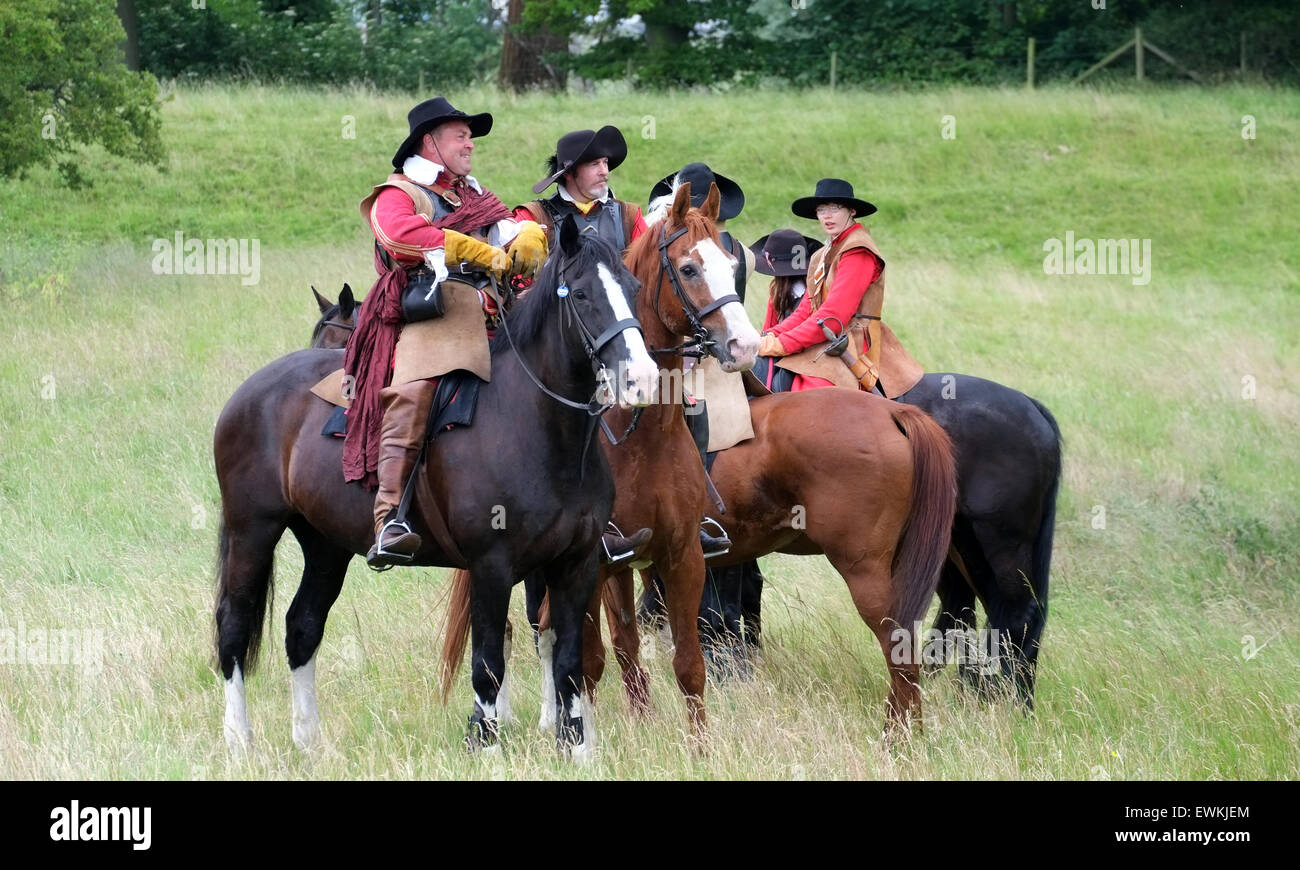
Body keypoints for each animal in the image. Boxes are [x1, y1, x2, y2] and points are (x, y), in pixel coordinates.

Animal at [218, 217, 660, 759]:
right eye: (580, 293)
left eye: (633, 289)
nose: (642, 379)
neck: (538, 425)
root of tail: (247, 393)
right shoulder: (492, 566)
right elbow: (488, 661)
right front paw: (486, 744)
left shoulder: (575, 564)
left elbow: (568, 660)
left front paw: (576, 748)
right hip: (252, 532)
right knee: (233, 629)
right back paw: (239, 739)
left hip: (325, 545)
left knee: (302, 626)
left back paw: (310, 741)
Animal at [655, 366, 1060, 707]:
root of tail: (1033, 409)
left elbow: (714, 608)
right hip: (957, 548)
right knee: (978, 614)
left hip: (994, 547)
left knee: (1014, 615)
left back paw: (1004, 699)